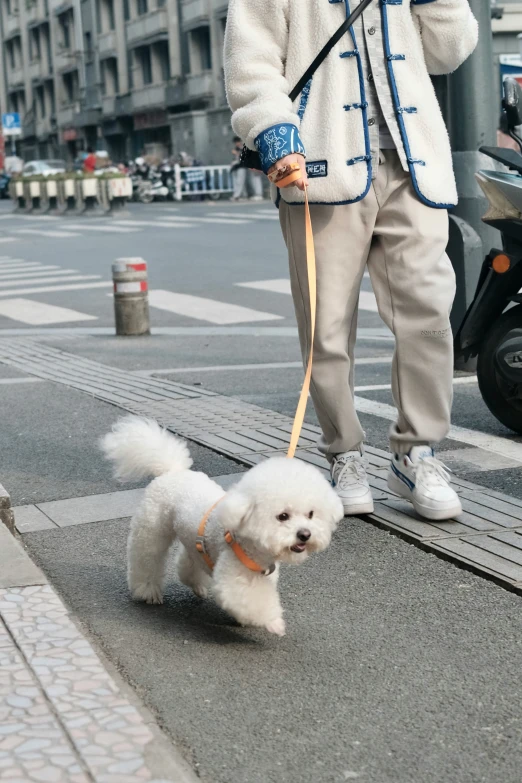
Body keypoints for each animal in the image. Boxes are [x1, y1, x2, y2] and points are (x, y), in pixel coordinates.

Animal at [100, 416, 342, 636]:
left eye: (311, 514)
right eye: (283, 516)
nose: (305, 534)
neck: (252, 545)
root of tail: (173, 470)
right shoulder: (235, 576)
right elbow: (249, 600)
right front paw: (275, 622)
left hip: (194, 540)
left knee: (189, 560)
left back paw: (196, 584)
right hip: (152, 528)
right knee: (147, 558)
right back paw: (147, 590)